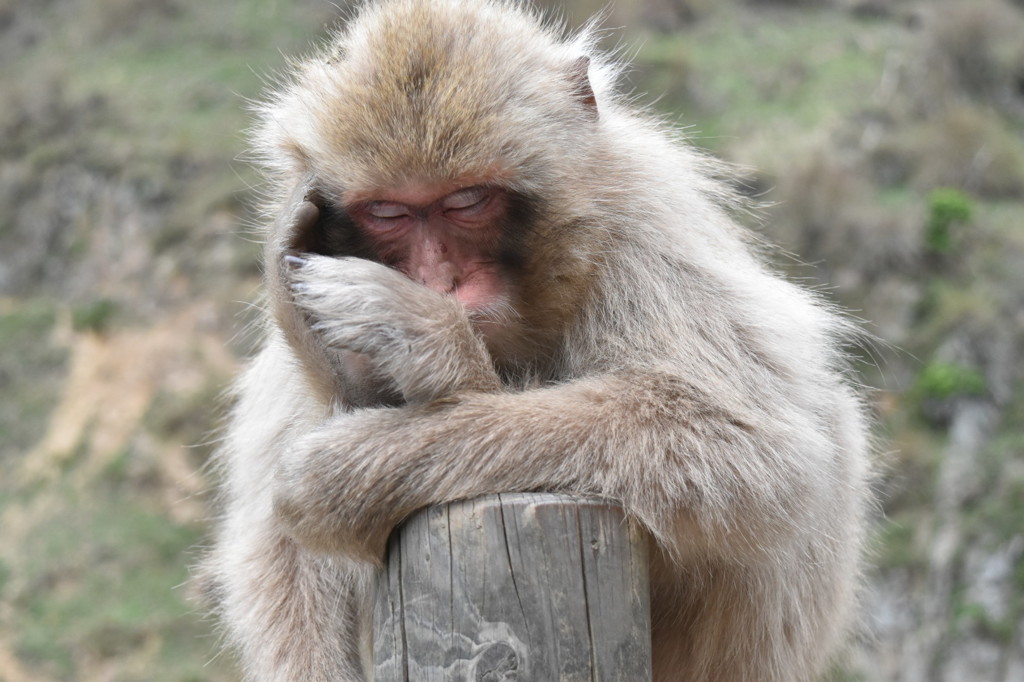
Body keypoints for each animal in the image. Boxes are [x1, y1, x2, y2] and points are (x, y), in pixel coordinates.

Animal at [202, 1, 873, 680]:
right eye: (387, 213)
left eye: (468, 200)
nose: (440, 281)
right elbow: (272, 556)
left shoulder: (643, 228)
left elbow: (749, 448)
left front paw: (377, 435)